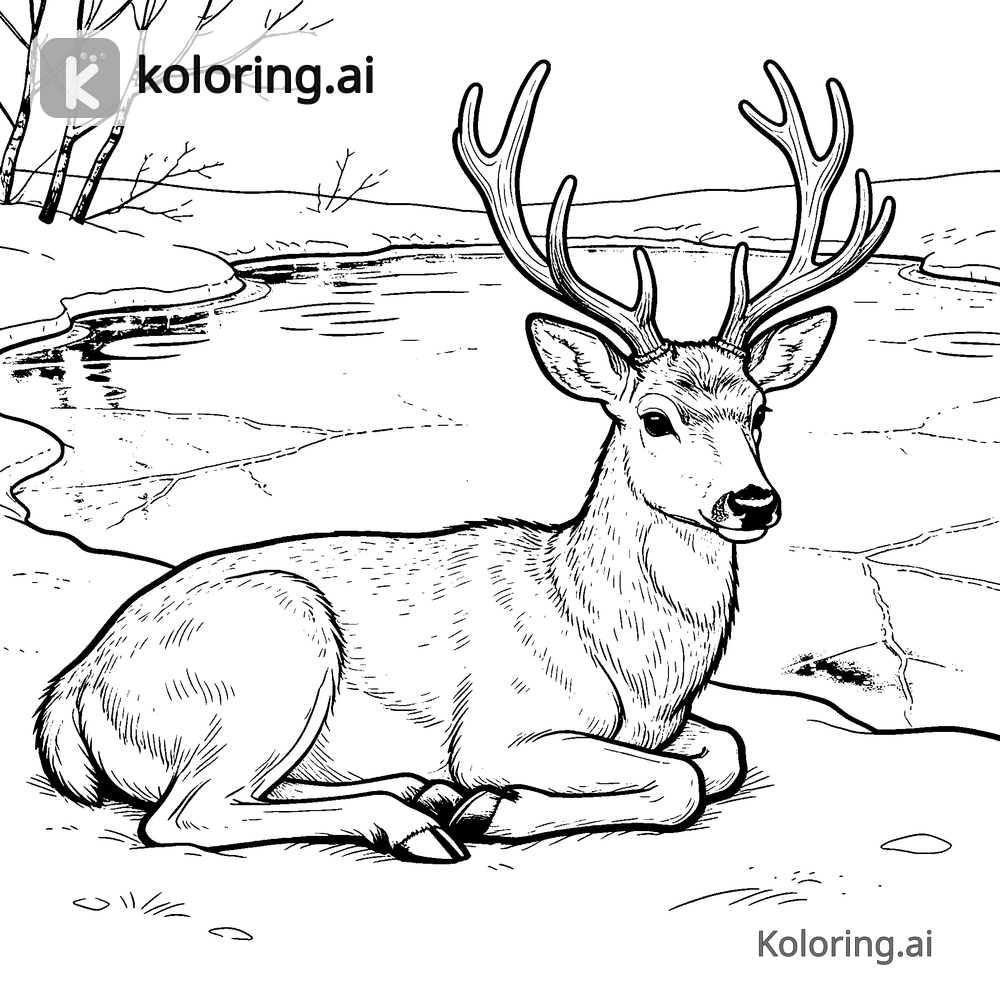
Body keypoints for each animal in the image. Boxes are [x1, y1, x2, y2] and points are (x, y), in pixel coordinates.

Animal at [35, 60, 893, 863]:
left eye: (760, 410)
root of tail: (70, 697)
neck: (626, 656)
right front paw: (495, 808)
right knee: (184, 815)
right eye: (654, 419)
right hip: (274, 650)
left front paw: (482, 804)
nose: (753, 502)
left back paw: (421, 794)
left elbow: (725, 752)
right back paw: (420, 821)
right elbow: (681, 781)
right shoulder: (502, 727)